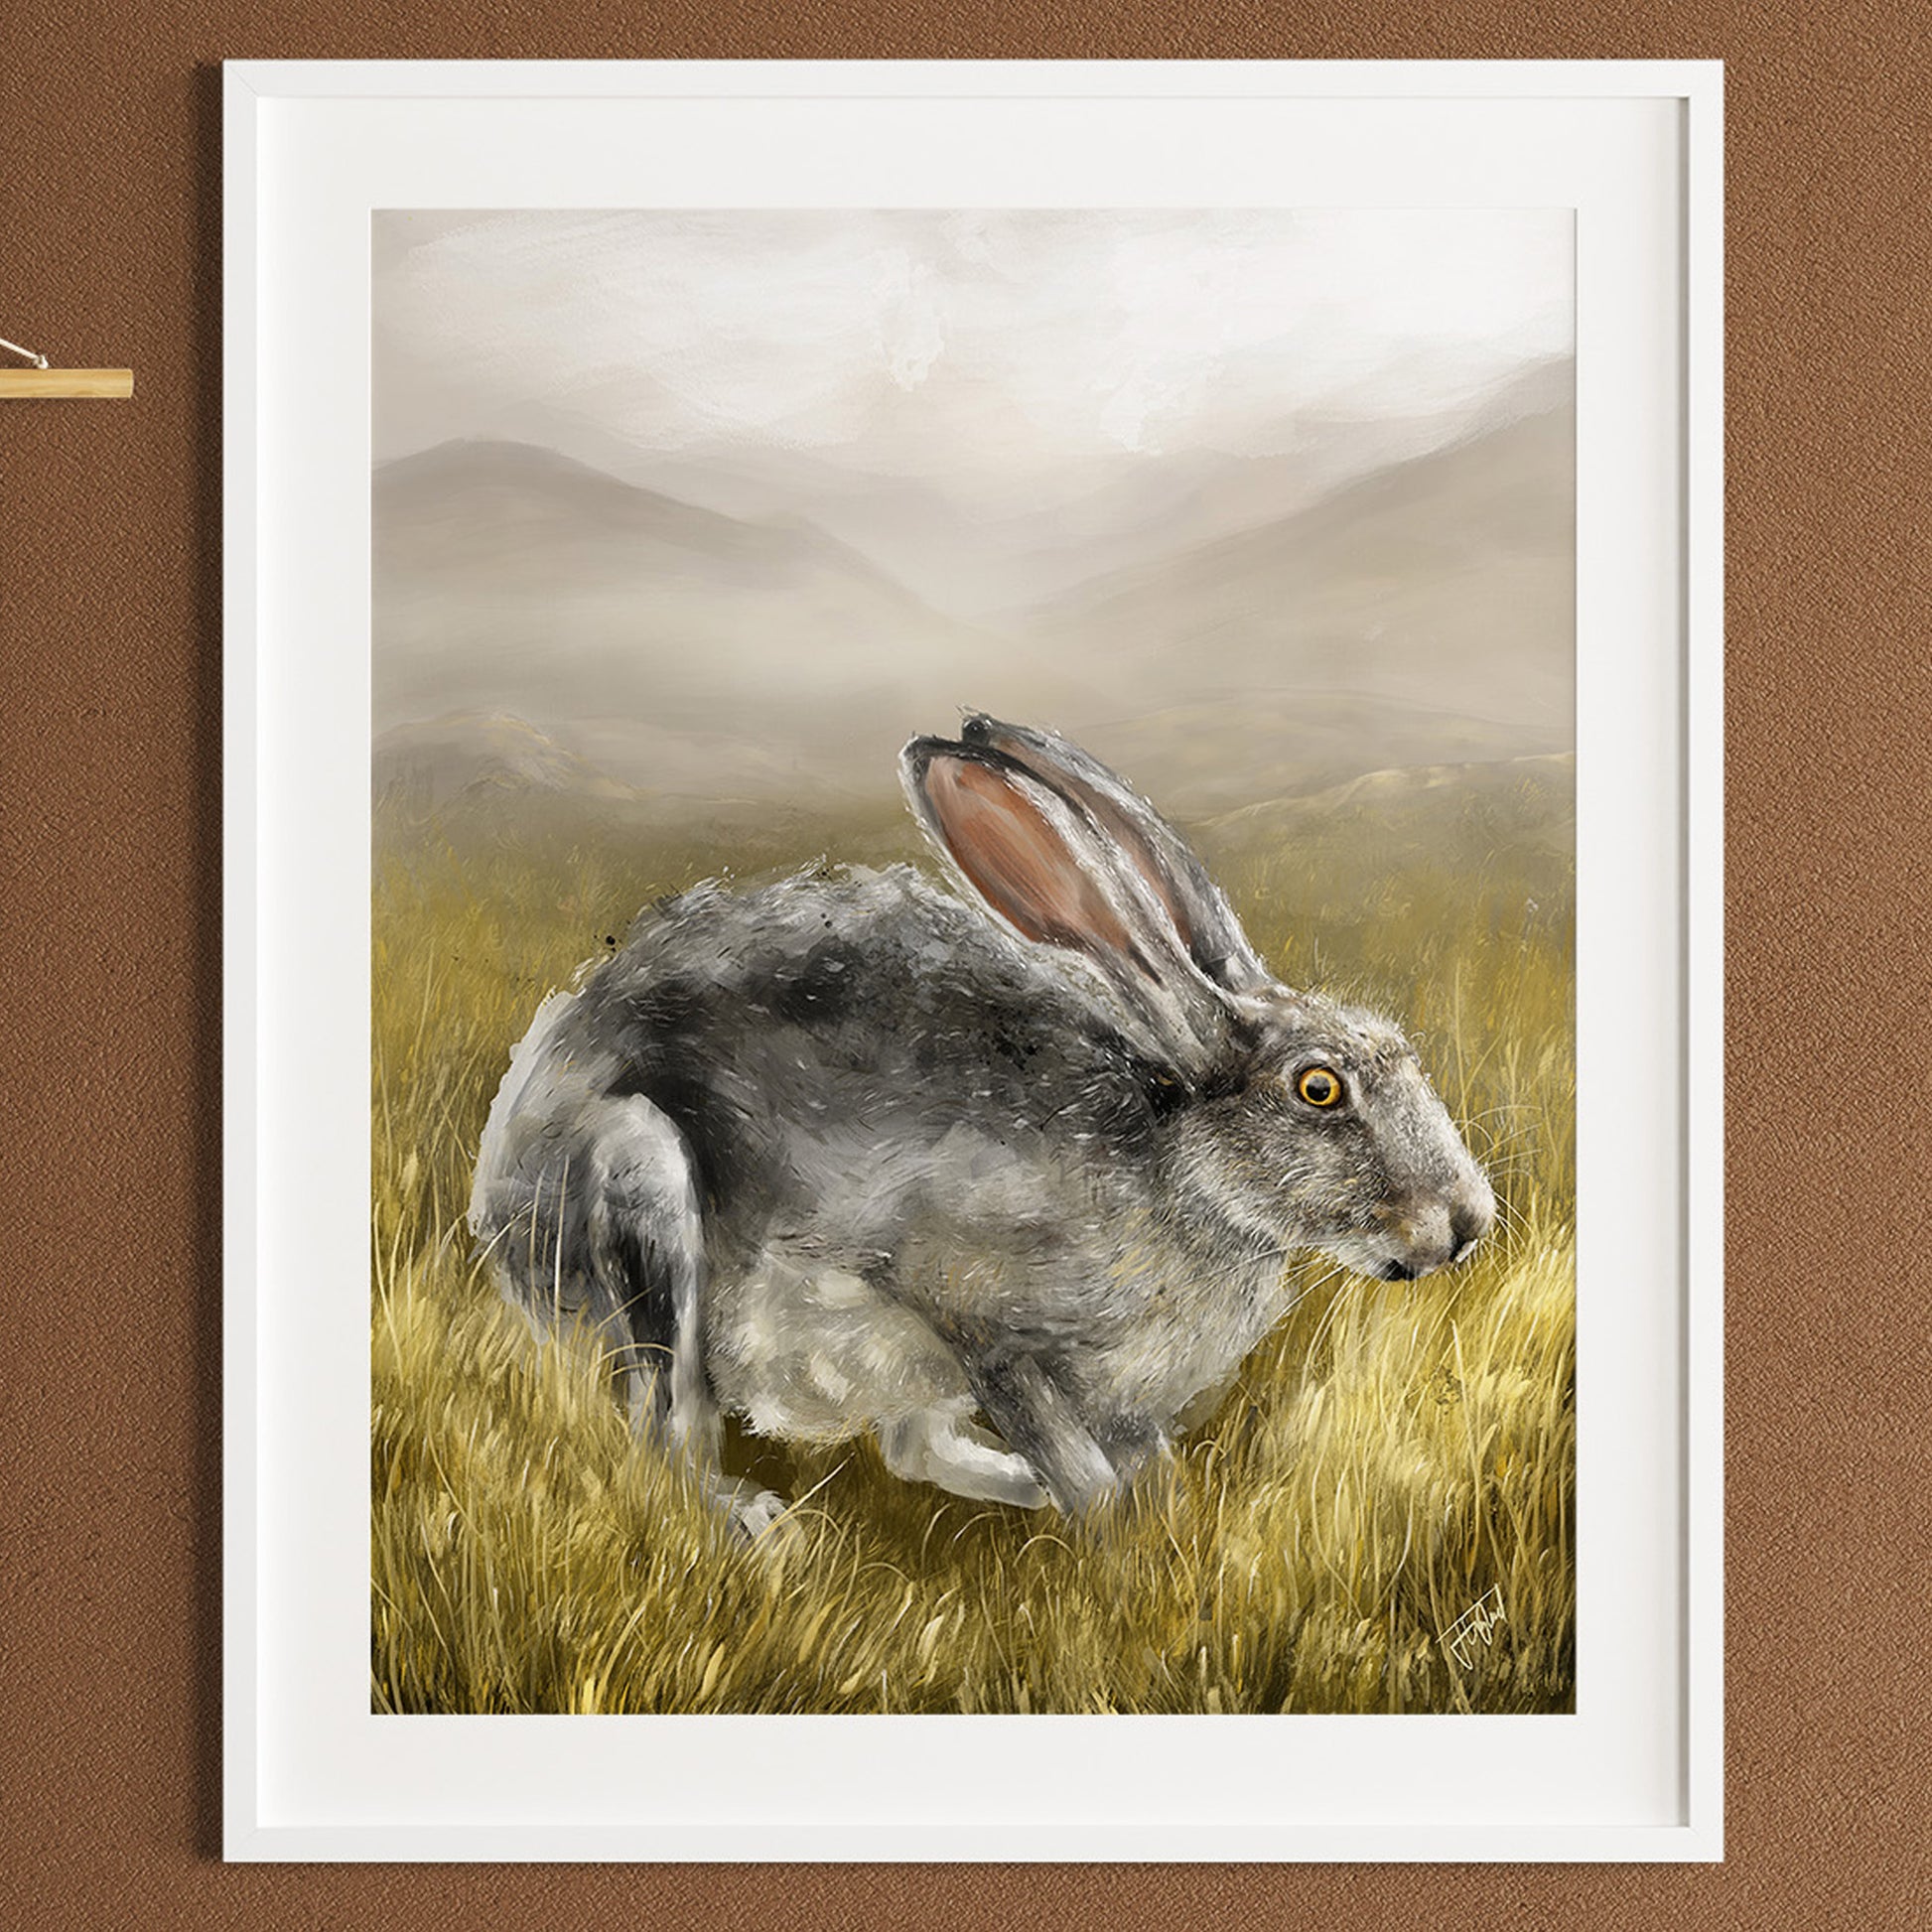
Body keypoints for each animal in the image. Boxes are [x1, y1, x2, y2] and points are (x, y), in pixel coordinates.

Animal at [467, 714, 1495, 1536]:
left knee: (907, 1447)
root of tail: (498, 1196)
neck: (1187, 1181)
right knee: (666, 1435)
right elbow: (1077, 1464)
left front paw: (1158, 1511)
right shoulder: (980, 1324)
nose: (1465, 1224)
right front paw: (1117, 1539)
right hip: (641, 1193)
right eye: (1319, 1089)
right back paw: (754, 1526)